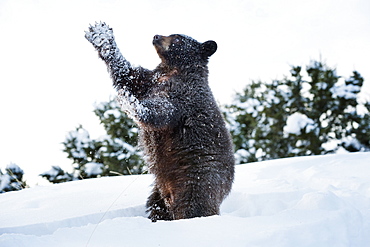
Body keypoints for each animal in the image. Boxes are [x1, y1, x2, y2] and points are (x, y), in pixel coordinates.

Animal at [85, 22, 234, 221]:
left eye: (177, 38)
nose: (156, 36)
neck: (172, 70)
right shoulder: (149, 80)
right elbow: (127, 73)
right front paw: (100, 34)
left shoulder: (182, 98)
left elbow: (159, 112)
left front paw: (128, 101)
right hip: (160, 190)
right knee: (158, 207)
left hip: (198, 179)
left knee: (192, 207)